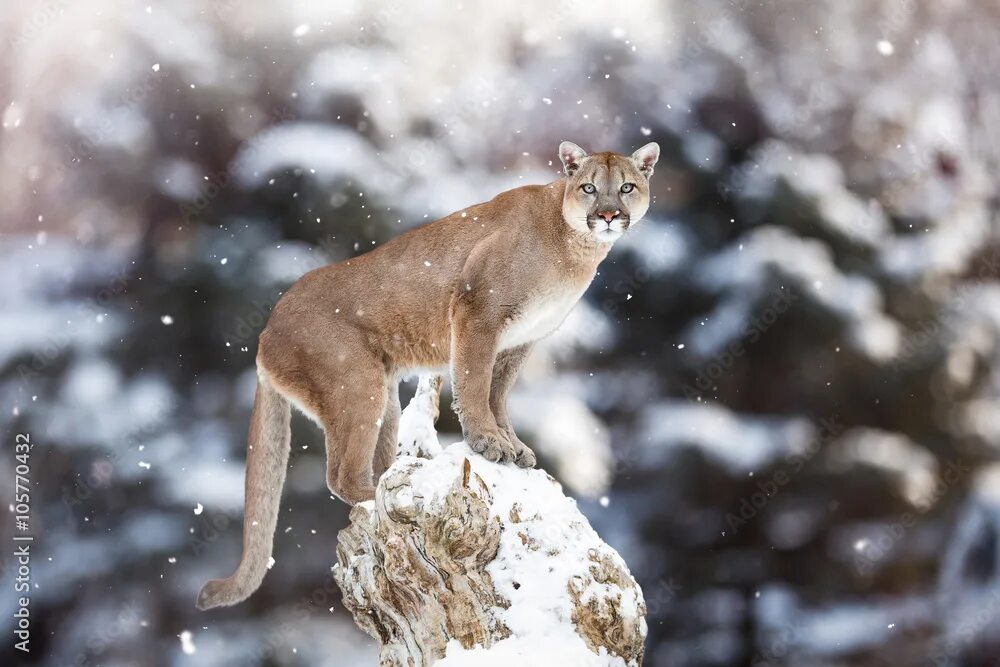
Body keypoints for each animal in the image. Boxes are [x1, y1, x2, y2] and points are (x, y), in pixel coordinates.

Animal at [198, 141, 660, 612]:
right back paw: (382, 497)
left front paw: (512, 445)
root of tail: (265, 331)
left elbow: (498, 395)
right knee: (340, 475)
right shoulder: (478, 315)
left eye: (626, 187)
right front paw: (487, 442)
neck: (573, 244)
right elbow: (474, 385)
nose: (608, 214)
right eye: (588, 187)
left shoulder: (519, 342)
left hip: (384, 398)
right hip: (357, 384)